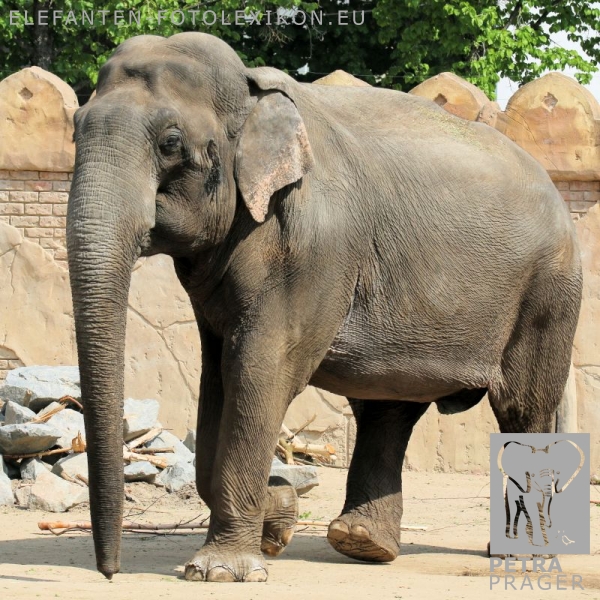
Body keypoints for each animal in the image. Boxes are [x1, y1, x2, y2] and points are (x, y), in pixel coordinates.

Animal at [65, 31, 580, 580]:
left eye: (170, 143)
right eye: (74, 131)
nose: (109, 572)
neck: (251, 90)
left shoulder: (316, 248)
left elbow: (261, 367)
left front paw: (220, 570)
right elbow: (219, 373)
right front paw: (278, 519)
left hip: (547, 291)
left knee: (522, 406)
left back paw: (517, 555)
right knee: (388, 407)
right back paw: (362, 544)